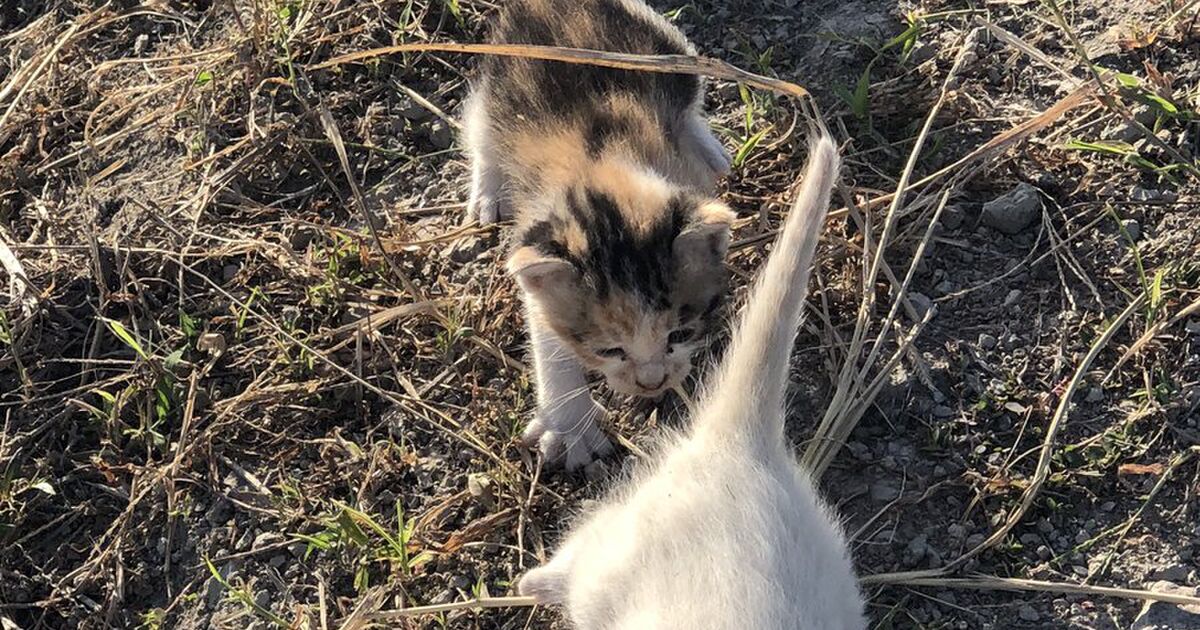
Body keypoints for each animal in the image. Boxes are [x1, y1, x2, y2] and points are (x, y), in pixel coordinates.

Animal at [465, 0, 729, 465]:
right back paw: (488, 190)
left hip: (667, 51)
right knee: (479, 126)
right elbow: (548, 342)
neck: (604, 165)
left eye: (679, 334)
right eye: (609, 350)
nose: (652, 383)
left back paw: (708, 146)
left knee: (689, 96)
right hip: (497, 85)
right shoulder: (538, 246)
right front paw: (572, 429)